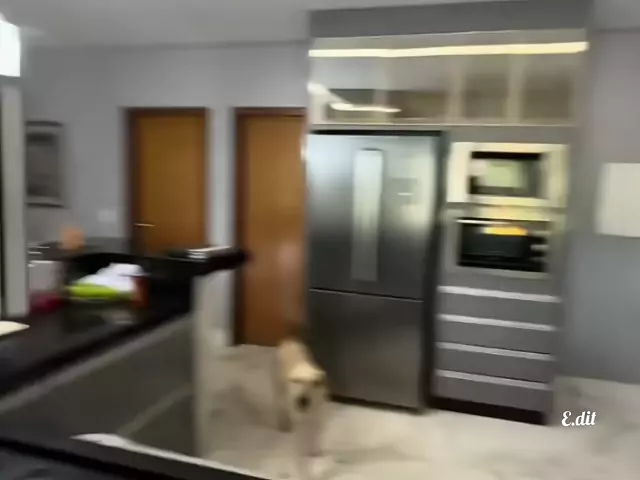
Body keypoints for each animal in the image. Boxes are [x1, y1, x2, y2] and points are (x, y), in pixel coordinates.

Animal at [273, 324, 328, 479]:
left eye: (314, 383)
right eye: (296, 381)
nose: (302, 399)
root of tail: (289, 340)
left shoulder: (318, 419)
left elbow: (316, 437)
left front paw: (315, 452)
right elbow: (301, 448)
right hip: (277, 389)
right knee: (280, 407)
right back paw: (284, 425)